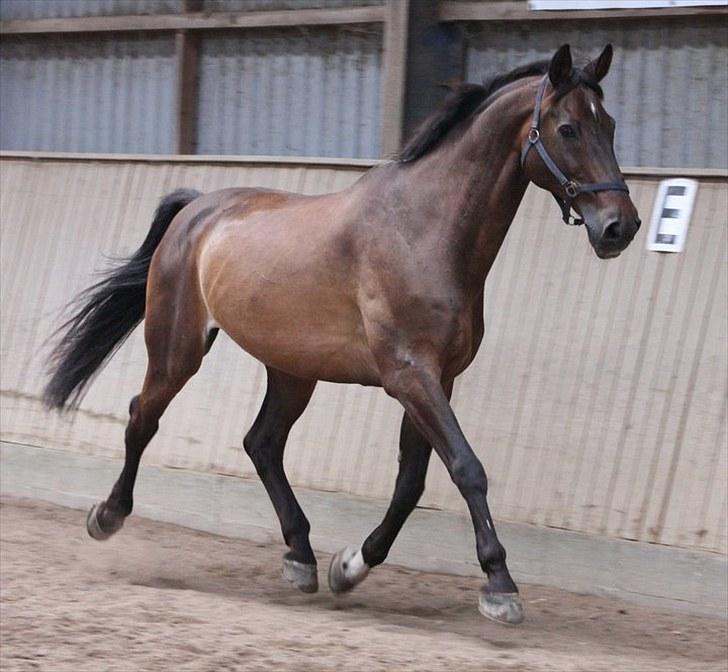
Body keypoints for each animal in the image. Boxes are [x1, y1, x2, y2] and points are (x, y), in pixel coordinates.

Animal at [43, 44, 640, 626]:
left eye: (609, 124)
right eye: (568, 129)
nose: (621, 227)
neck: (423, 231)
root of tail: (195, 208)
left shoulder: (436, 379)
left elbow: (411, 484)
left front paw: (350, 566)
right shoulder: (410, 376)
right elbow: (467, 468)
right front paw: (499, 585)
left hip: (291, 371)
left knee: (261, 443)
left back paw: (301, 557)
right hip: (177, 349)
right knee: (144, 416)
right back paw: (107, 515)